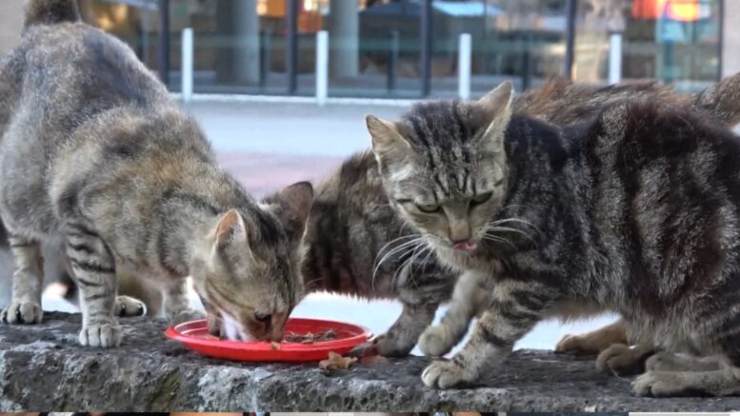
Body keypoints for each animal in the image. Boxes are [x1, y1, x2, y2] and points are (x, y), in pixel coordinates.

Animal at [0, 0, 312, 348]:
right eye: (262, 316)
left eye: (290, 311)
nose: (275, 342)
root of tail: (57, 22)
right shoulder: (80, 220)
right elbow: (95, 280)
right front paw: (99, 321)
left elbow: (173, 282)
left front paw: (180, 309)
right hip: (21, 198)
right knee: (28, 258)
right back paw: (25, 301)